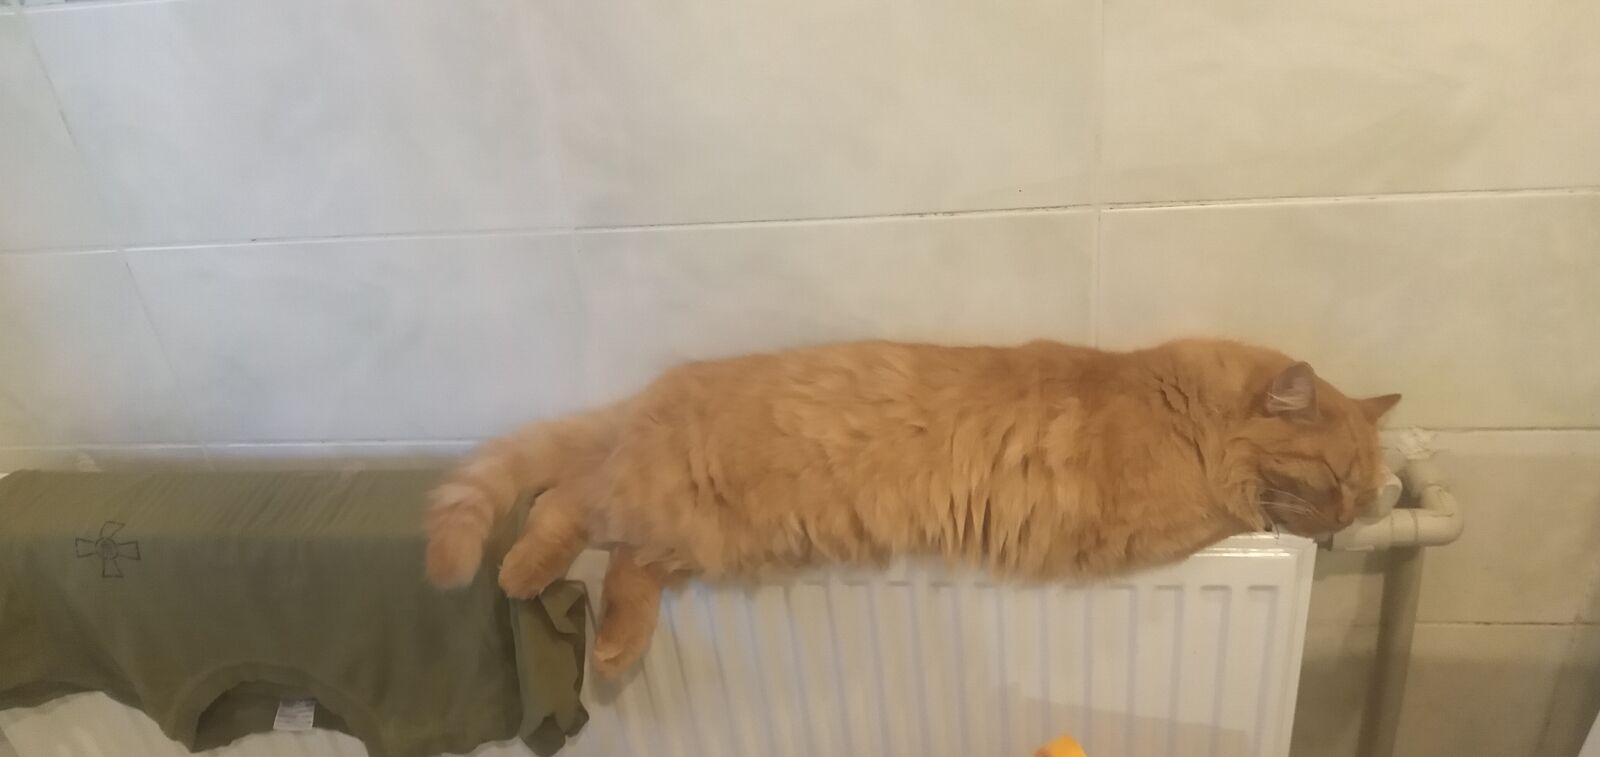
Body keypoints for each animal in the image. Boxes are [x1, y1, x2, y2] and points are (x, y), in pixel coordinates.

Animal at [424, 338, 1399, 677]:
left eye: (1365, 484)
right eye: (1333, 473)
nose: (1348, 521)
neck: (1176, 403)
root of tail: (665, 384)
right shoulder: (1156, 521)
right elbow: (1236, 511)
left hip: (710, 536)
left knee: (626, 562)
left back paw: (617, 648)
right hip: (664, 499)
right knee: (565, 499)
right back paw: (518, 573)